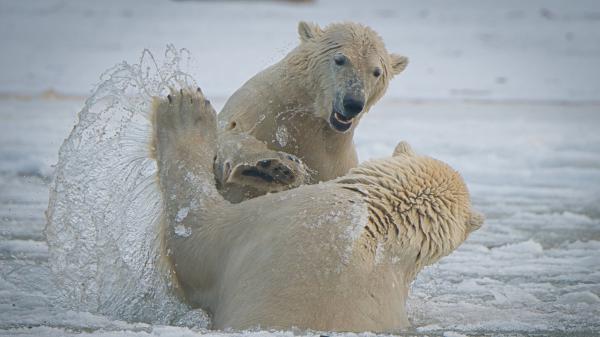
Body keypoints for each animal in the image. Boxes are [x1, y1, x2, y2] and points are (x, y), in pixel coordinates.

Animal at [216, 22, 408, 201]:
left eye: (376, 72)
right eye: (340, 59)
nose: (353, 103)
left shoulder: (334, 161)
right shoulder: (260, 104)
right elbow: (229, 133)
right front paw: (273, 168)